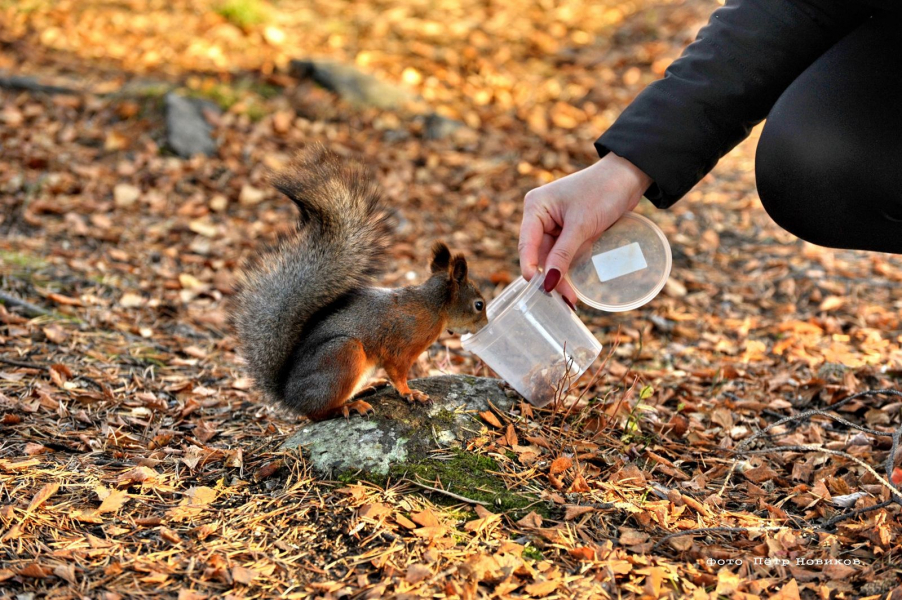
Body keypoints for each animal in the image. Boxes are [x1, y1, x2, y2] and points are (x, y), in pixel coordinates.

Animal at [232, 144, 489, 420]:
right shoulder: (400, 347)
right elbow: (398, 374)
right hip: (343, 354)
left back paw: (365, 389)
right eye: (479, 305)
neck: (433, 306)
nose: (486, 325)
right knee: (317, 413)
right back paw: (348, 406)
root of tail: (289, 396)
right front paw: (411, 393)